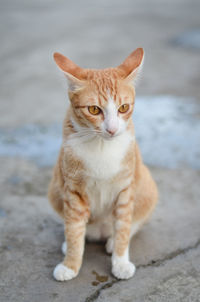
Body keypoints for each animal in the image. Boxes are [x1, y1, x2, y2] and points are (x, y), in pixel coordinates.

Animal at [48, 47, 158, 280]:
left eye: (123, 107)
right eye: (94, 110)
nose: (112, 129)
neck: (101, 146)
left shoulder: (125, 189)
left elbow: (124, 227)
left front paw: (120, 261)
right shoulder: (73, 191)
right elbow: (73, 230)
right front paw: (70, 264)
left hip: (147, 187)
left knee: (131, 224)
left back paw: (112, 242)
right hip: (55, 189)